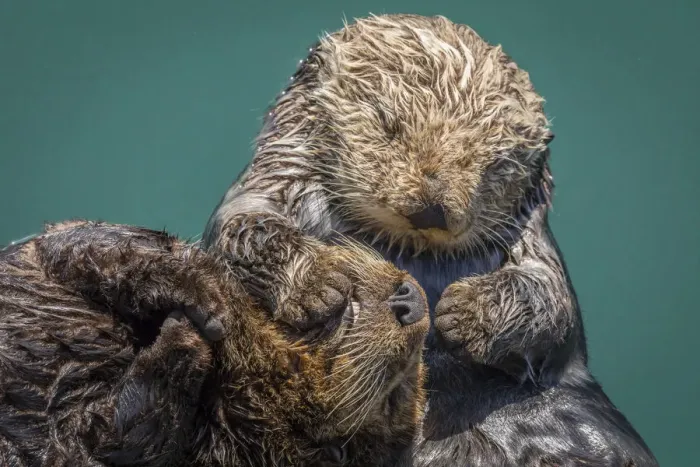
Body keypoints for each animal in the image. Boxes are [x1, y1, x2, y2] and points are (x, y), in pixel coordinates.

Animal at [0, 220, 428, 466]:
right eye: (402, 390)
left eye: (394, 398)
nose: (413, 301)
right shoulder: (58, 248)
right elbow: (94, 245)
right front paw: (206, 293)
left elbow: (120, 437)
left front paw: (185, 336)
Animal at [204, 14, 658, 466]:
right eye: (388, 124)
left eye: (495, 162)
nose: (430, 209)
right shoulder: (276, 180)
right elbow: (247, 229)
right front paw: (320, 283)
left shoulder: (531, 238)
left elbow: (549, 298)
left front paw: (465, 312)